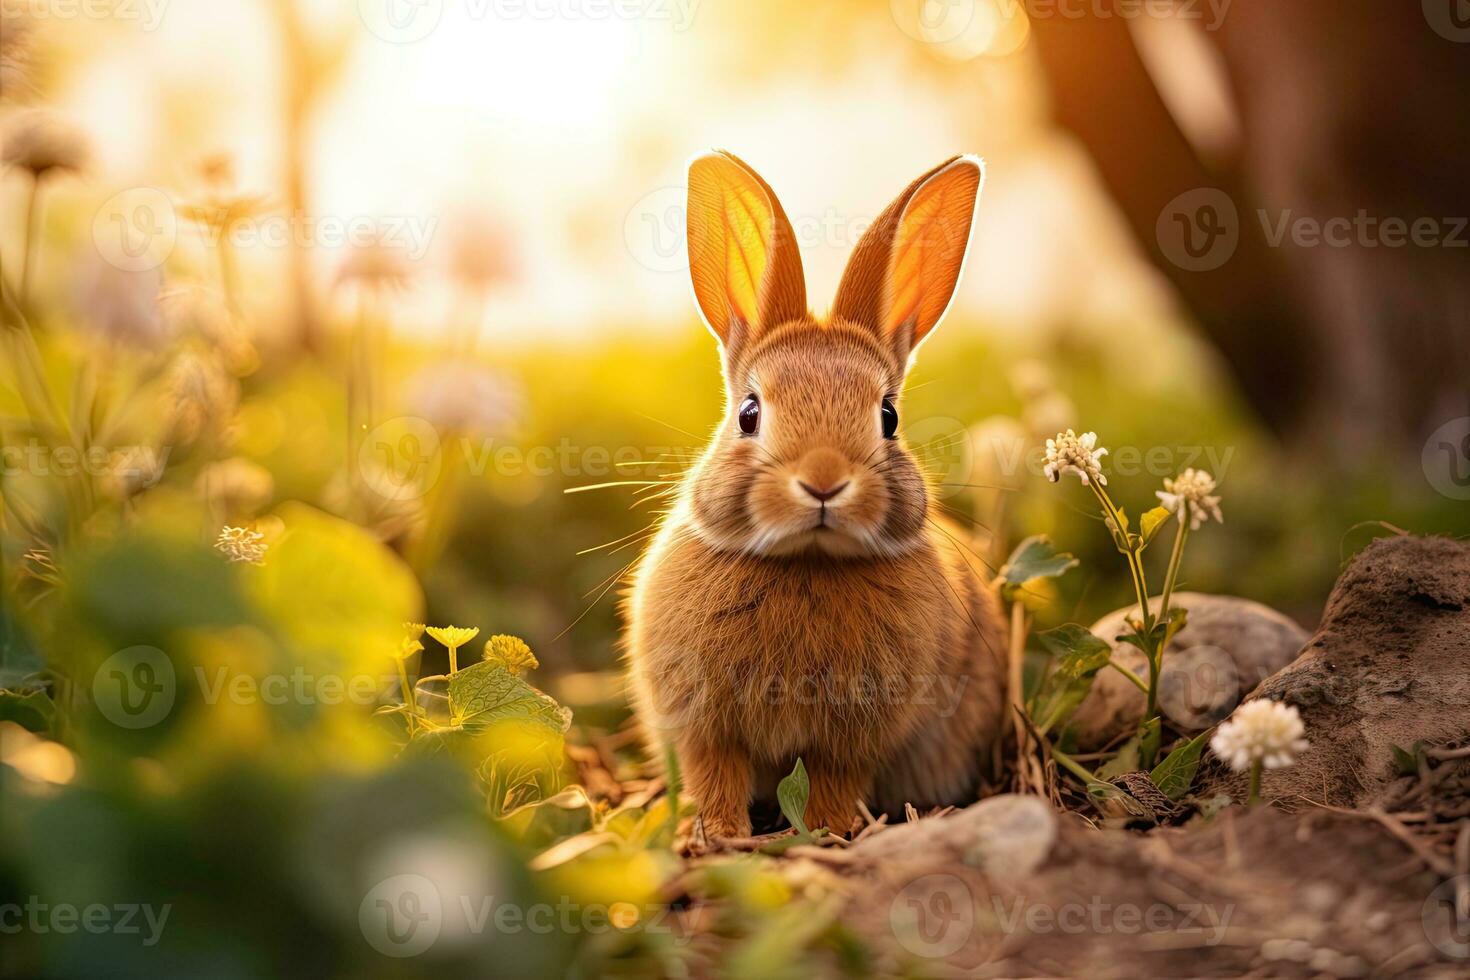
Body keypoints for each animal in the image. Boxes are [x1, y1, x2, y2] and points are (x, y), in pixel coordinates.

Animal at [626, 149, 1005, 840]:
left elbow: (833, 782)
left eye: (888, 417)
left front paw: (828, 831)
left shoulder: (855, 739)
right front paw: (720, 834)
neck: (807, 560)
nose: (824, 482)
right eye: (749, 413)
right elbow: (715, 775)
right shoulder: (702, 727)